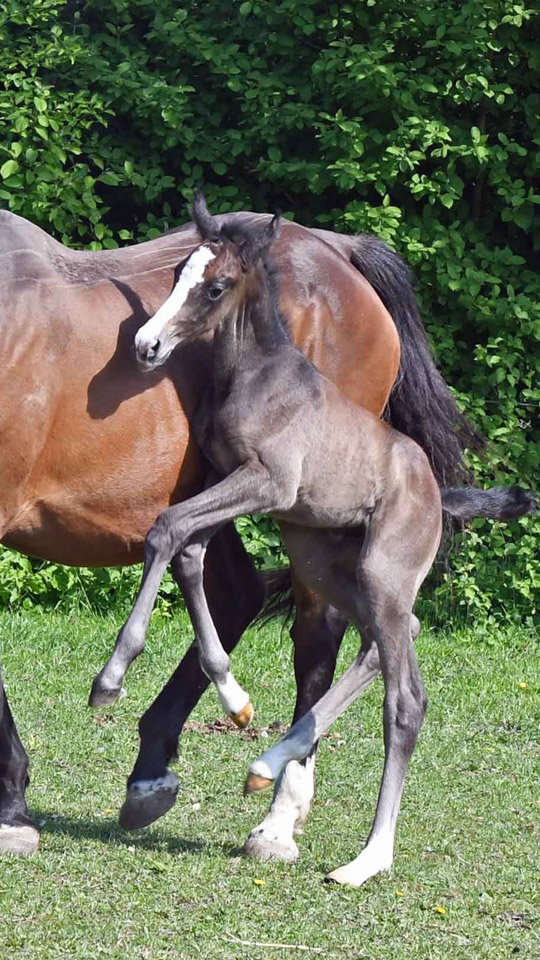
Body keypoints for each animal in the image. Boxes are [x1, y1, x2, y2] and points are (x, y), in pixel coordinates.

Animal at [0, 203, 531, 858]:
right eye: (179, 277)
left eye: (217, 287)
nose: (146, 346)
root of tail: (341, 249)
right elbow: (180, 547)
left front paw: (20, 796)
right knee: (264, 599)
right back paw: (170, 764)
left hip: (310, 528)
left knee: (321, 640)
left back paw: (279, 811)